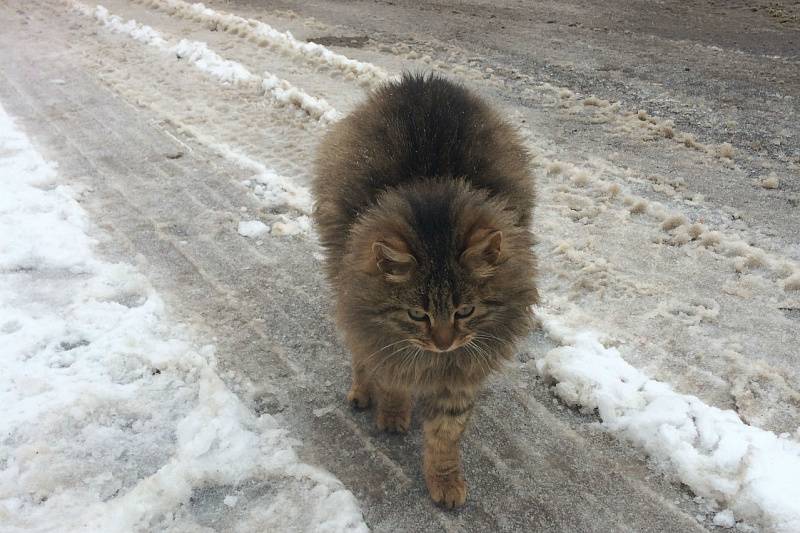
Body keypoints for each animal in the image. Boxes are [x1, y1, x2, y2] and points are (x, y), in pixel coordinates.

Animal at [312, 71, 536, 508]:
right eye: (418, 314)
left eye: (465, 311)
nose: (444, 343)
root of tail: (421, 80)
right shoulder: (388, 340)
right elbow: (391, 378)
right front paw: (393, 414)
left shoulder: (460, 372)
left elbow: (446, 435)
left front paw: (445, 481)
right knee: (359, 348)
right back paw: (362, 390)